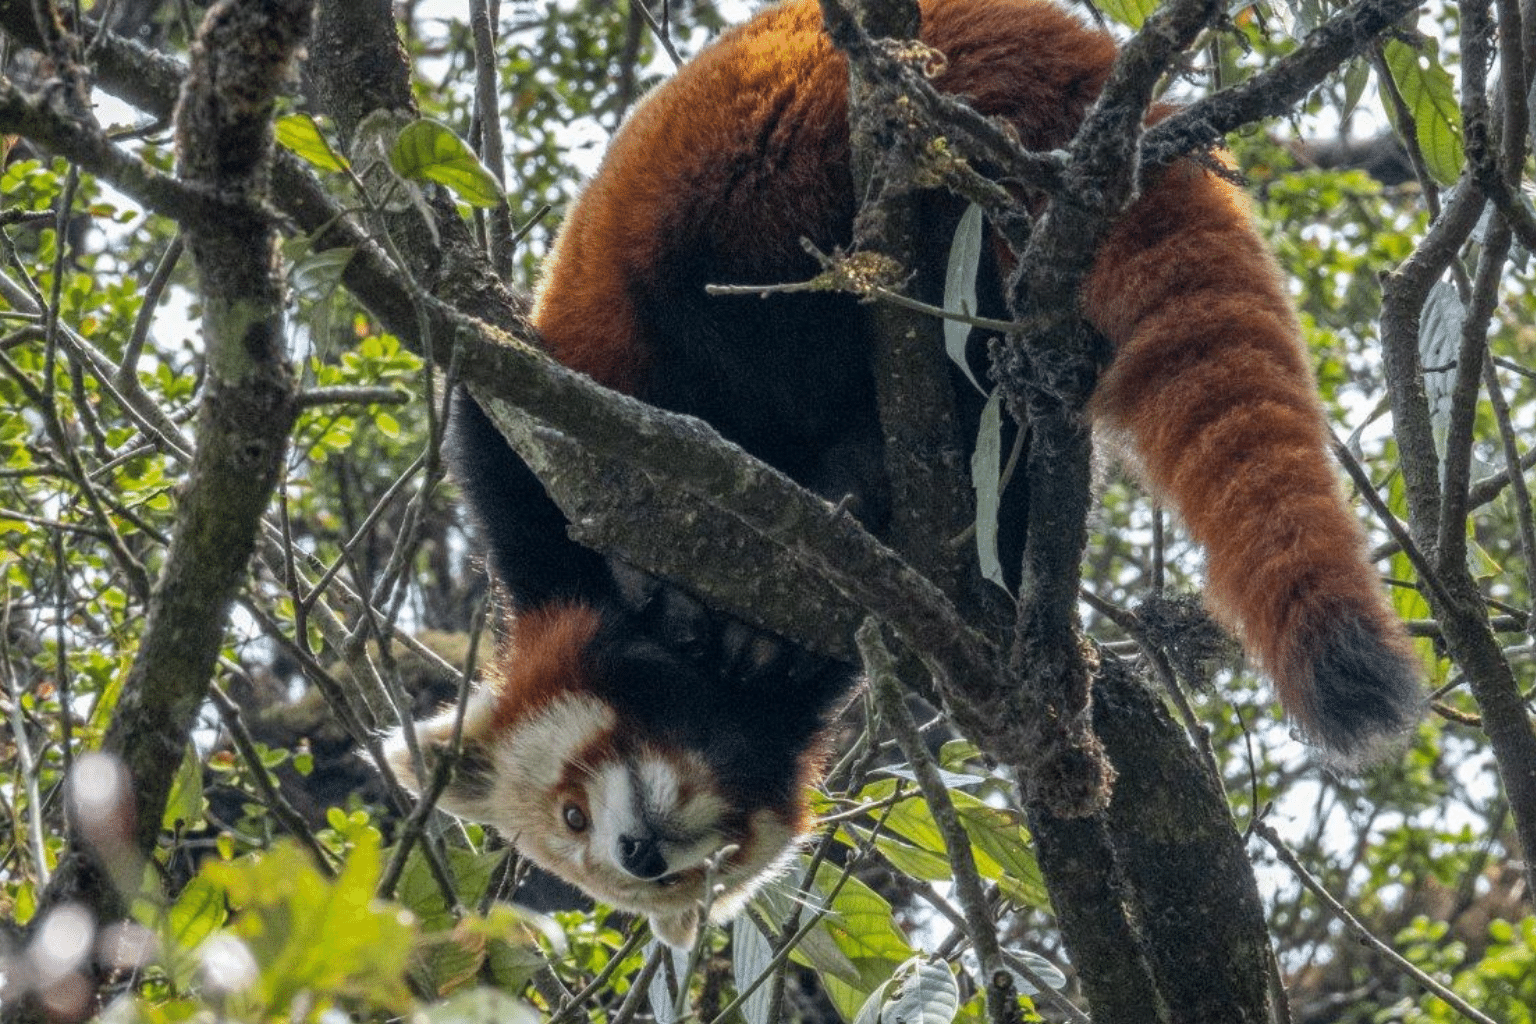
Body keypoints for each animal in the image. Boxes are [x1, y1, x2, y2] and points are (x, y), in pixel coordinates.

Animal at [380, 0, 1413, 951]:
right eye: (588, 842)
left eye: (571, 813)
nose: (637, 854)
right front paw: (761, 636)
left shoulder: (544, 461)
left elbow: (510, 442)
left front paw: (668, 591)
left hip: (768, 171)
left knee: (745, 306)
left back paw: (860, 469)